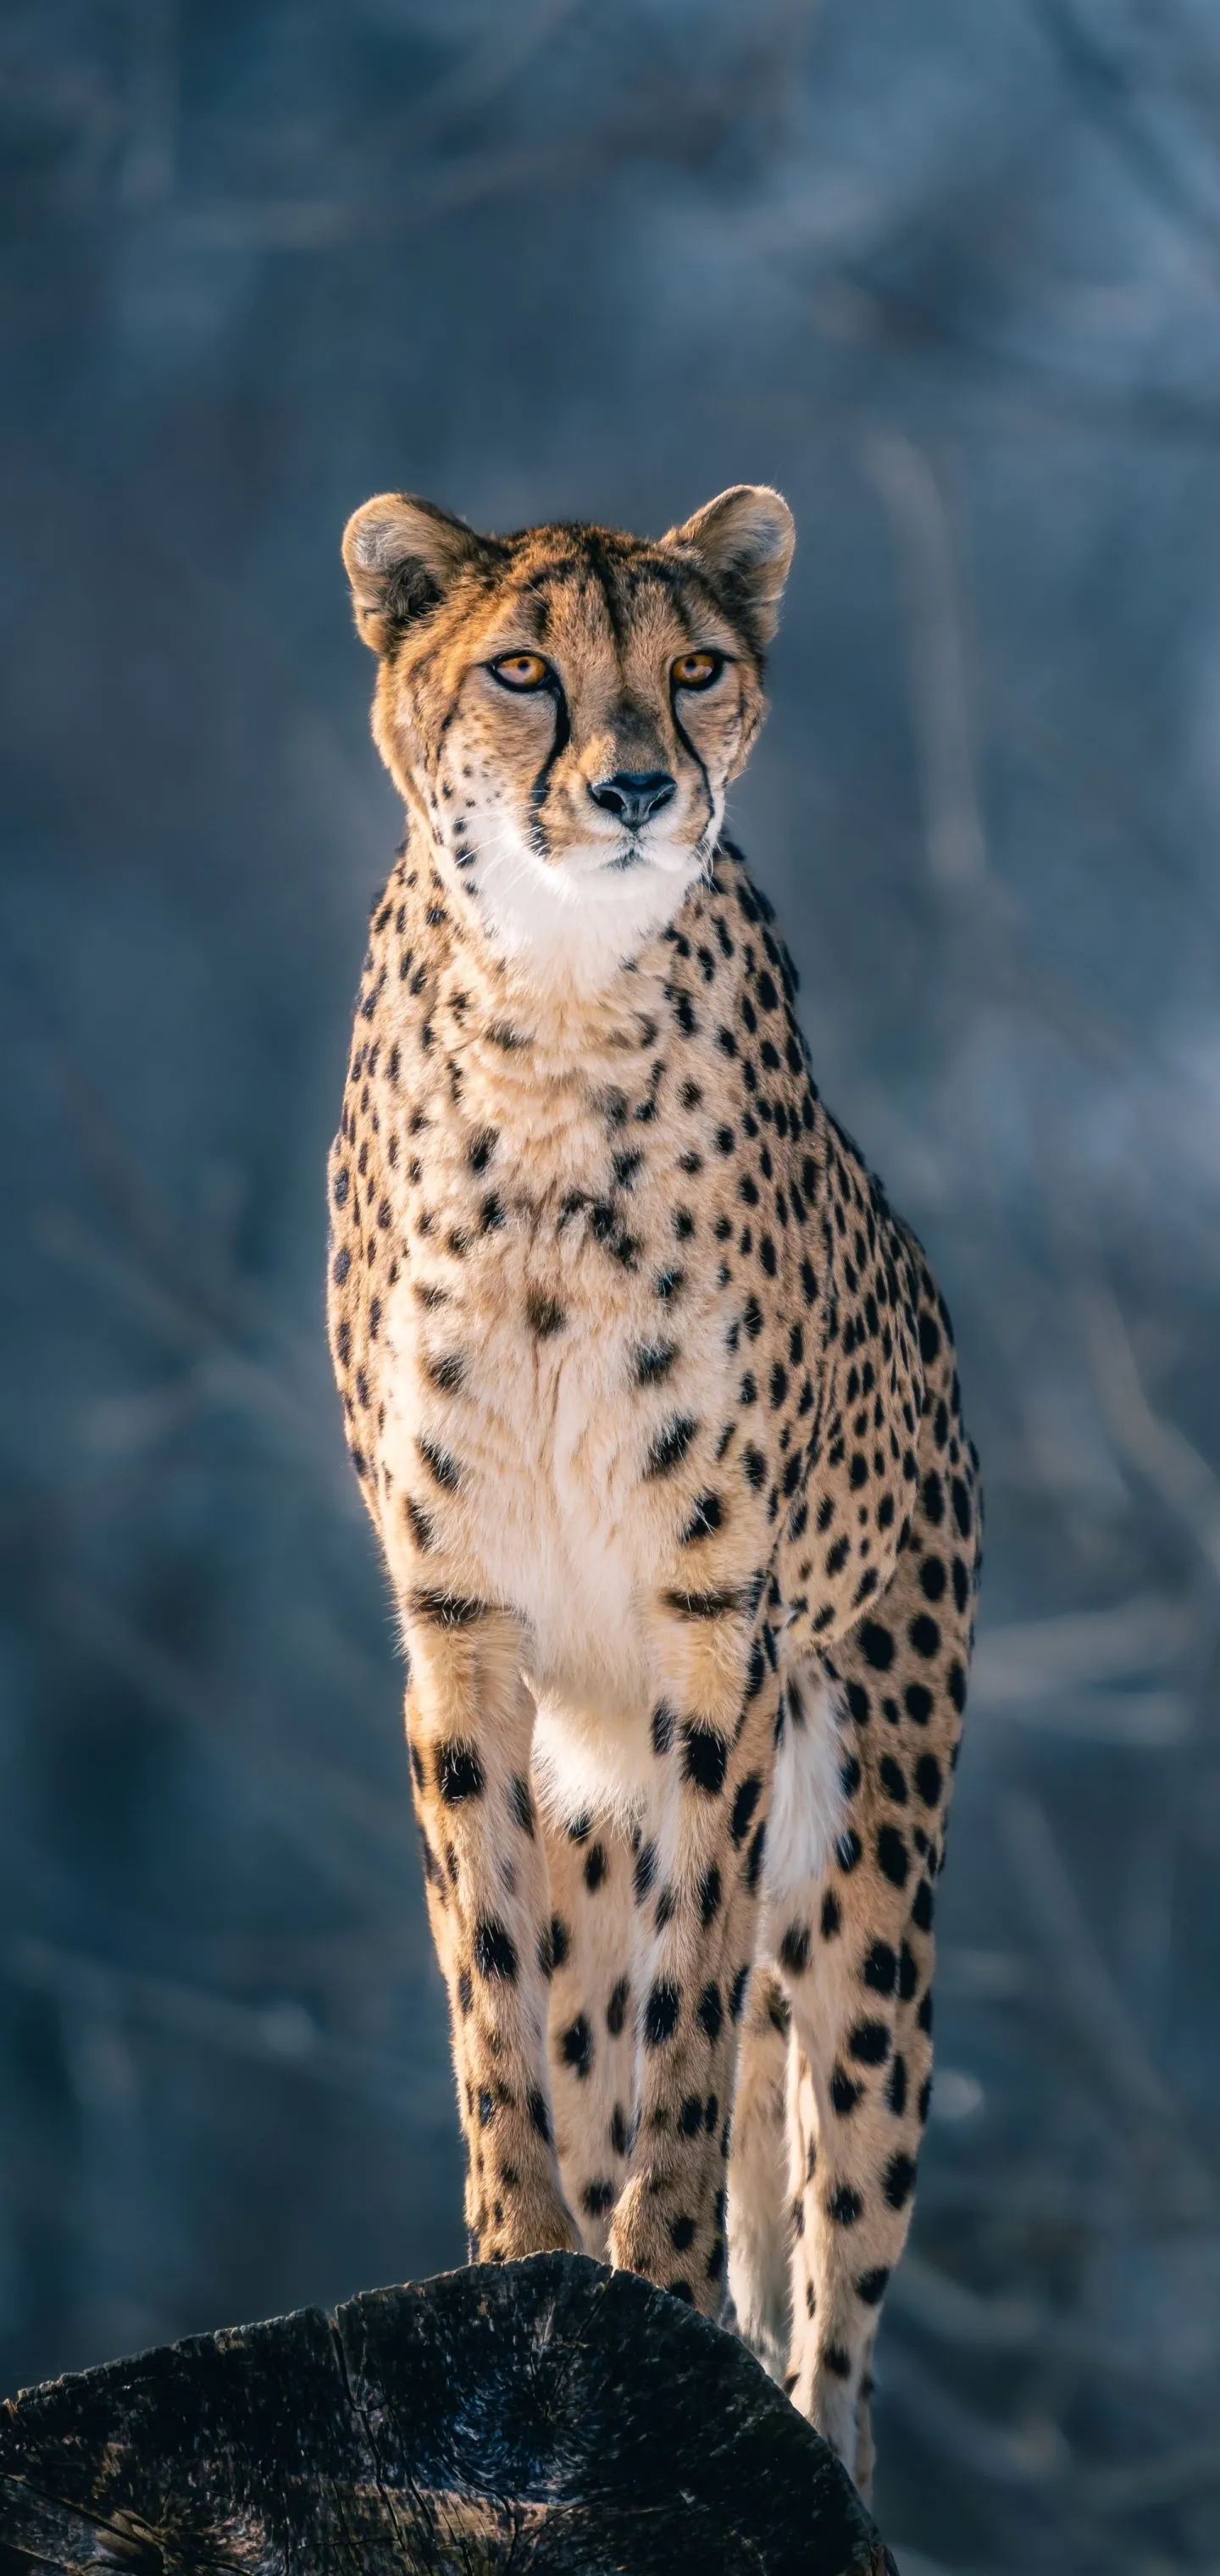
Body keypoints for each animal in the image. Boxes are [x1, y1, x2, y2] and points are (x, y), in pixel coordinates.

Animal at [326, 479, 980, 2497]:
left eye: (693, 666)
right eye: (523, 670)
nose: (632, 786)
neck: (553, 1004)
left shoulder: (720, 1627)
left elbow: (693, 2009)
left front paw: (659, 2271)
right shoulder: (463, 1621)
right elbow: (493, 1976)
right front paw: (521, 2250)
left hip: (871, 1884)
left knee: (840, 2279)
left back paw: (812, 2433)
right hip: (600, 1795)